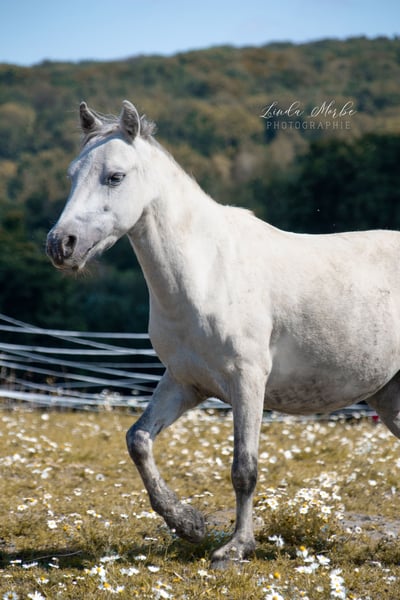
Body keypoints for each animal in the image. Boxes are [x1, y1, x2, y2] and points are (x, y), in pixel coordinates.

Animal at [47, 100, 400, 568]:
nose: (60, 244)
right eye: (72, 174)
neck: (207, 270)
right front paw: (188, 525)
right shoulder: (186, 382)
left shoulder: (247, 380)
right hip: (390, 396)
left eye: (115, 176)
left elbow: (244, 469)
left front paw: (235, 547)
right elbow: (138, 440)